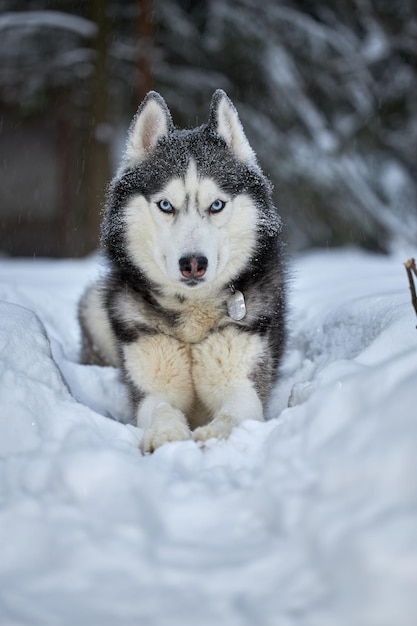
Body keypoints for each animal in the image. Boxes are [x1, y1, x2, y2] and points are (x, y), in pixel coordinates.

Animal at [78, 89, 286, 448]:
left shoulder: (242, 381)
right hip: (94, 305)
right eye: (165, 205)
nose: (193, 264)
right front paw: (167, 435)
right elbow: (162, 408)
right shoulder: (152, 384)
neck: (192, 318)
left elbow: (233, 414)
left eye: (216, 205)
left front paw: (214, 435)